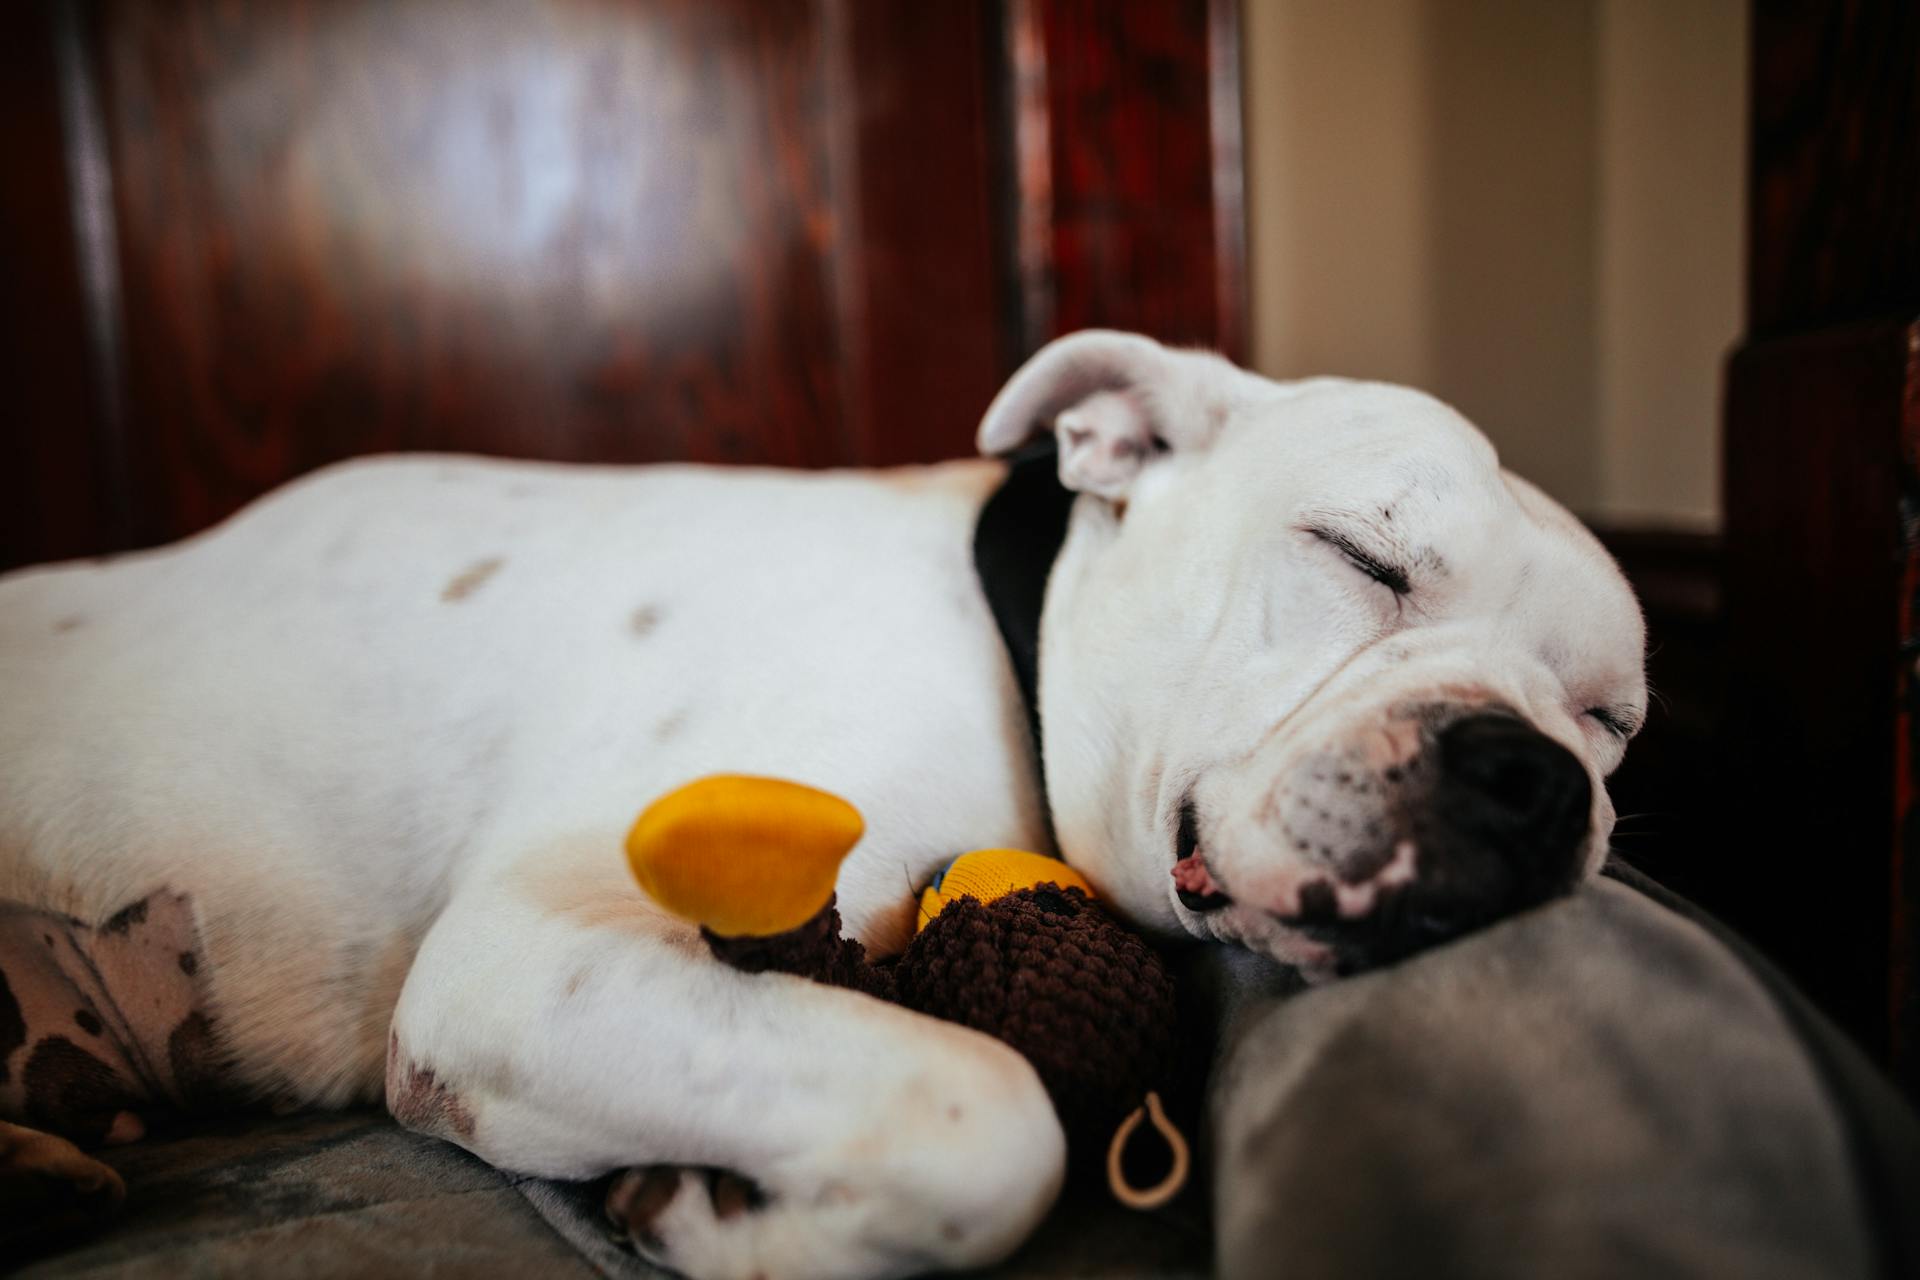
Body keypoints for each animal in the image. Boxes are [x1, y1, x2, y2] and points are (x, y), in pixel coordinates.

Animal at [3, 333, 1651, 1280]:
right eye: (1361, 558)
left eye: (1613, 721)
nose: (1530, 773)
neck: (1009, 633)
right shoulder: (527, 960)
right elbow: (988, 1116)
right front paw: (720, 1224)